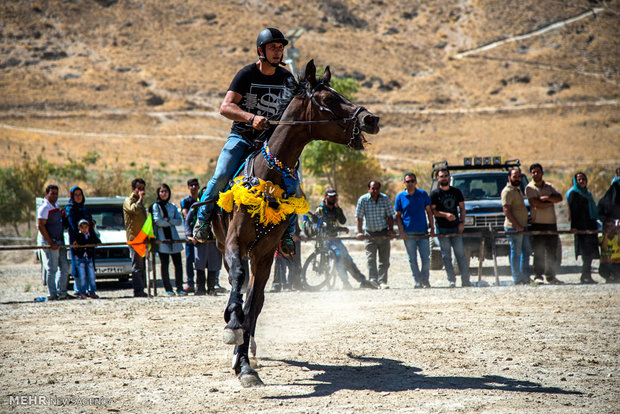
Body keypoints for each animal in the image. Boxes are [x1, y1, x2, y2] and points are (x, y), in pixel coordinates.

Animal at [212, 59, 378, 386]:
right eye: (328, 99)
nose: (371, 118)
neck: (268, 177)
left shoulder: (264, 254)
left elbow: (254, 303)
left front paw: (244, 363)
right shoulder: (235, 243)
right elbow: (238, 280)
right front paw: (232, 328)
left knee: (256, 300)